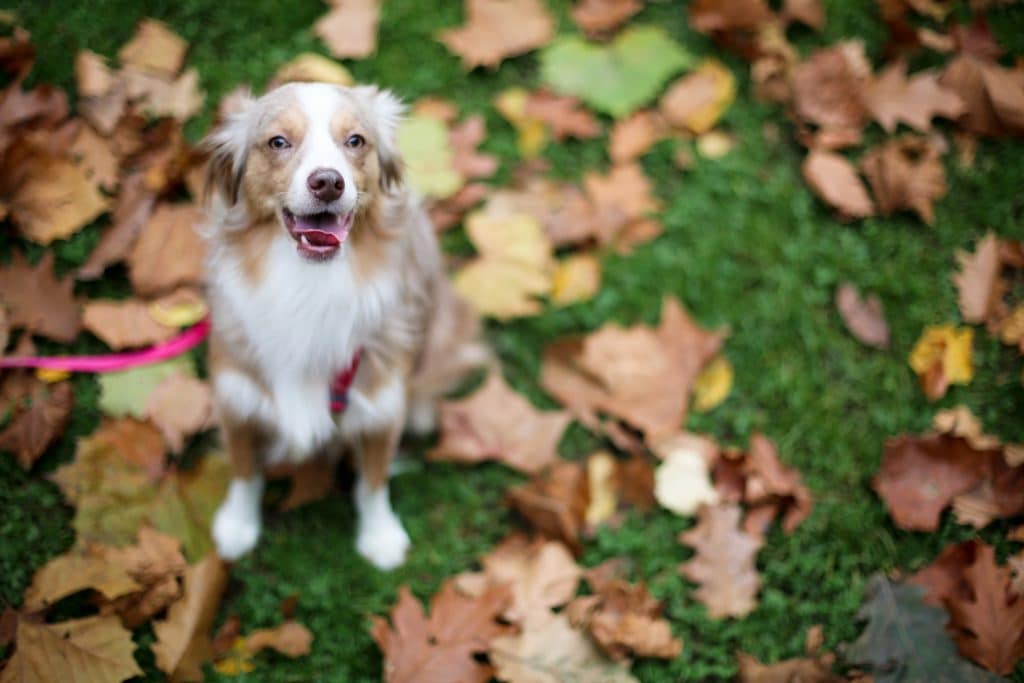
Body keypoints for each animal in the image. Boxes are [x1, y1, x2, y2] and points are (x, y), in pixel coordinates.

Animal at [203, 82, 487, 569]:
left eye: (355, 141)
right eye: (278, 142)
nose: (328, 182)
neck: (309, 286)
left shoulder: (380, 406)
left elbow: (372, 482)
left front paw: (381, 537)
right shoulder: (236, 395)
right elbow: (244, 470)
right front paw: (237, 526)